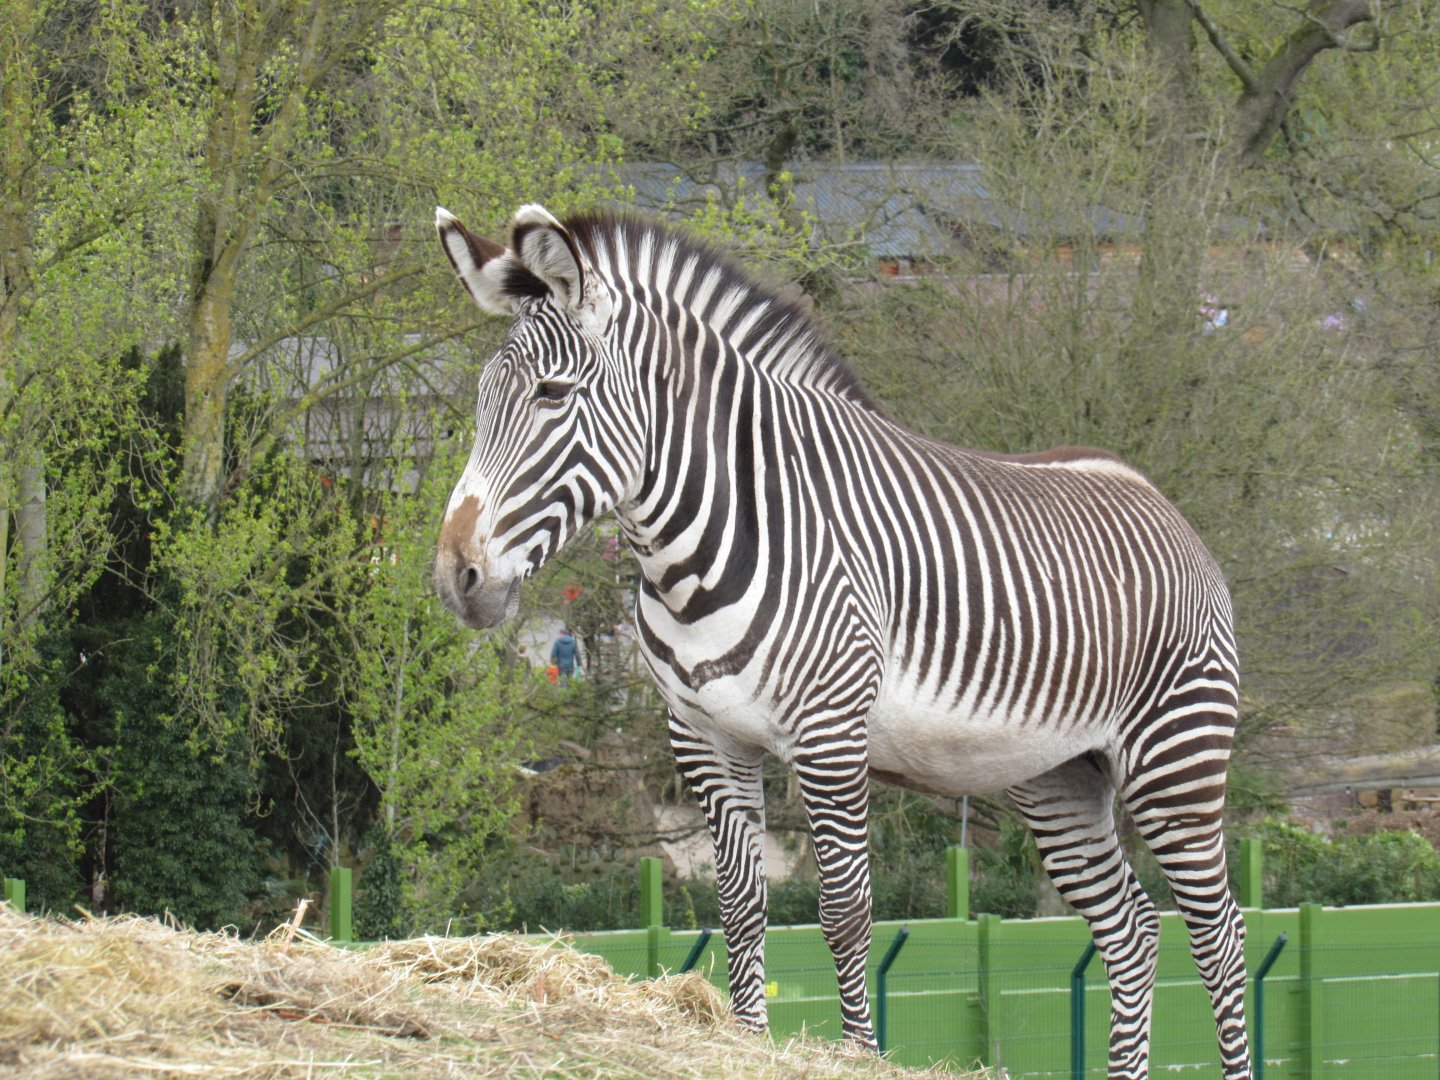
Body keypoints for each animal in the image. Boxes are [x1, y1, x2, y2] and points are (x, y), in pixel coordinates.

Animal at [432, 202, 1251, 1079]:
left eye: (553, 394)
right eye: (483, 398)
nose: (456, 575)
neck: (704, 541)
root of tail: (1158, 499)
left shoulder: (829, 736)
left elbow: (844, 909)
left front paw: (858, 1051)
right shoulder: (704, 736)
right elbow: (741, 904)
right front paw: (747, 1038)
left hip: (1176, 758)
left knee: (1221, 937)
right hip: (1061, 774)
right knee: (1133, 933)